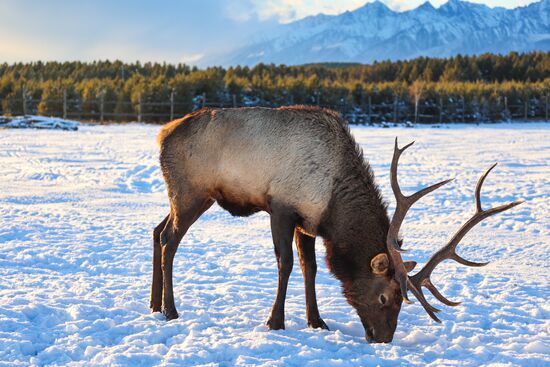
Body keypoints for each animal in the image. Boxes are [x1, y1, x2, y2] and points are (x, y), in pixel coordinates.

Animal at [152, 106, 528, 344]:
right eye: (384, 297)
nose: (384, 339)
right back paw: (171, 309)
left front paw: (317, 321)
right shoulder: (281, 208)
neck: (333, 201)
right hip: (190, 192)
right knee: (169, 239)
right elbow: (286, 264)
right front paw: (276, 321)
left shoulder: (307, 222)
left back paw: (154, 304)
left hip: (186, 197)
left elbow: (312, 268)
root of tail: (162, 135)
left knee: (156, 231)